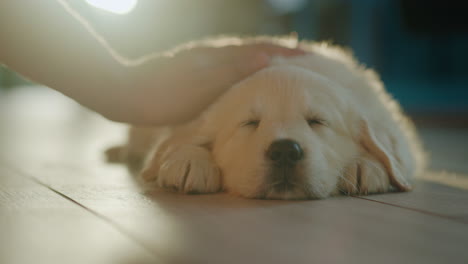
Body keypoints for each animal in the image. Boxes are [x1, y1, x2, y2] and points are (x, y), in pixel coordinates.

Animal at [108, 37, 426, 200]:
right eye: (250, 123)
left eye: (317, 121)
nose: (285, 150)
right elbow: (180, 138)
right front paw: (188, 161)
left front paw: (364, 166)